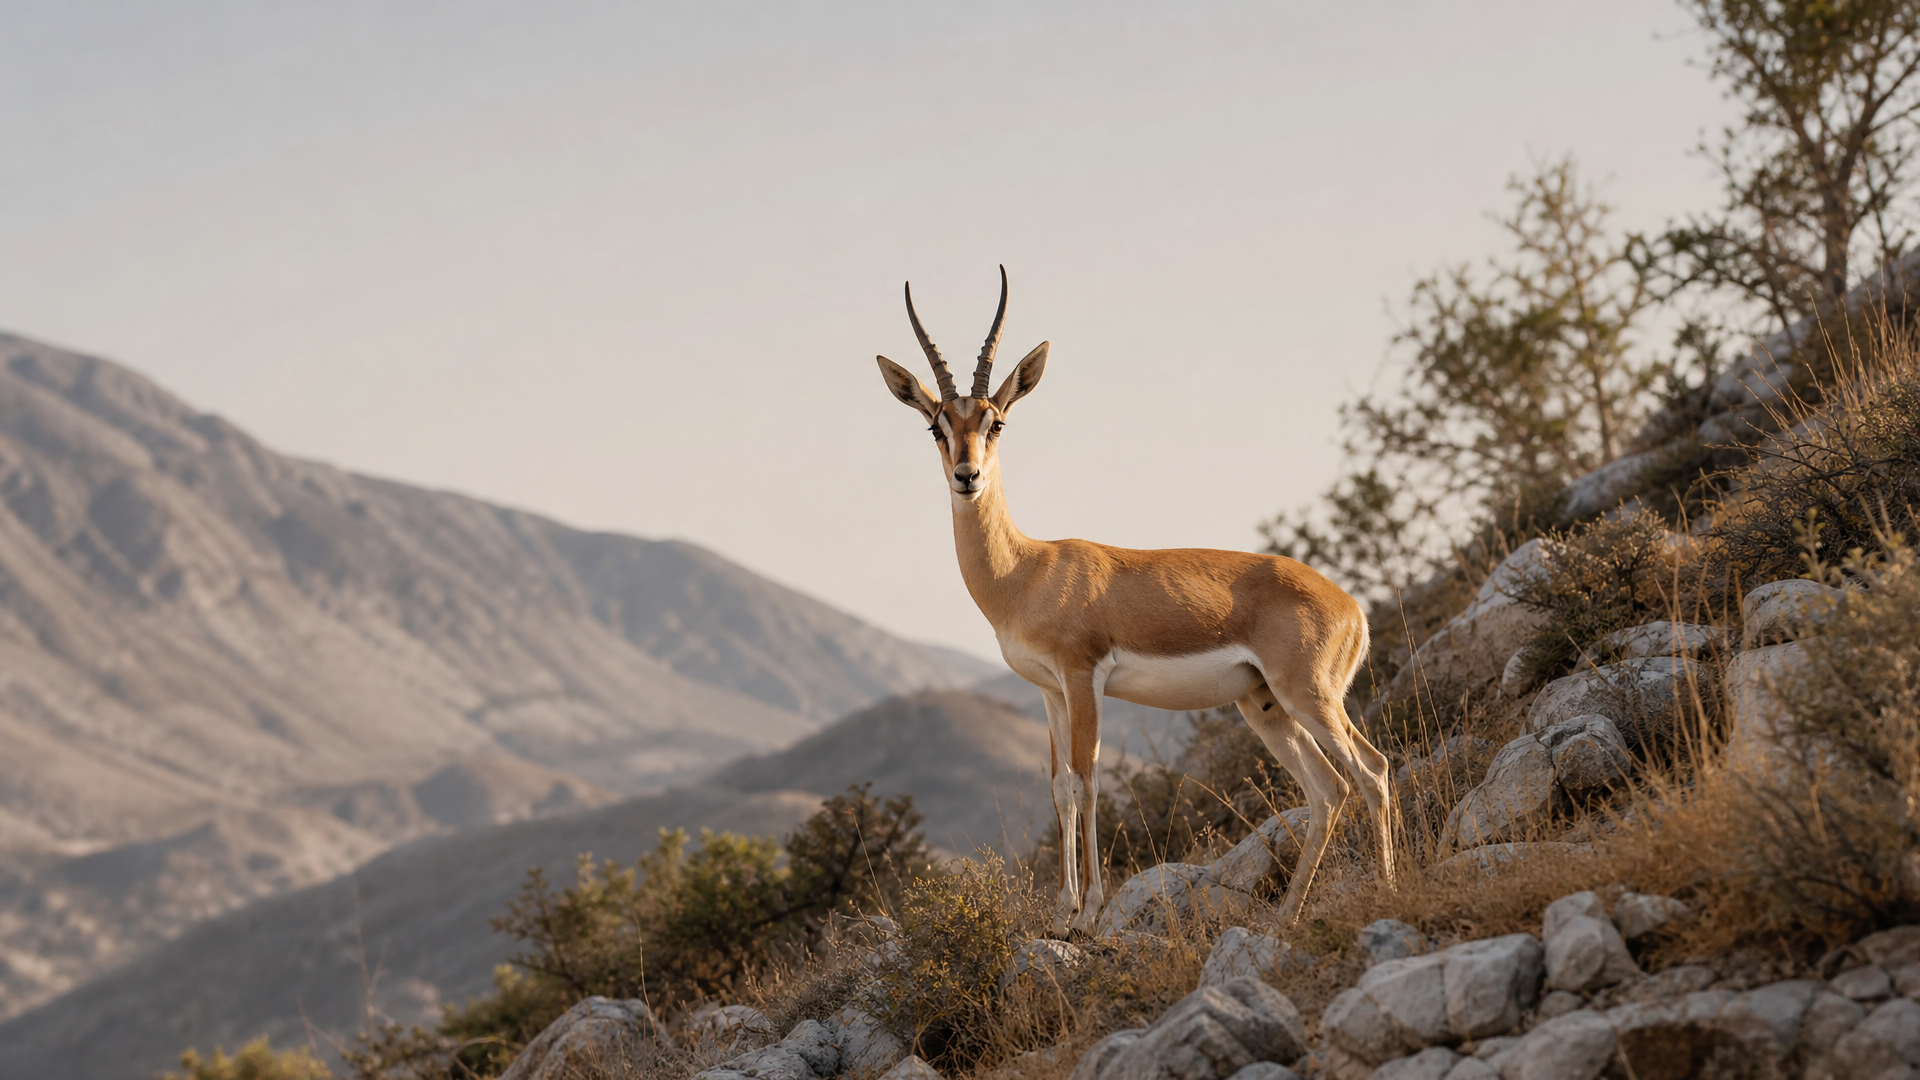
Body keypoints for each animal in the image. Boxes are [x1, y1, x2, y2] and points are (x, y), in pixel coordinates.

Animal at [873, 268, 1395, 936]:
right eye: (936, 426)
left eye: (996, 423)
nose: (968, 477)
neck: (1027, 570)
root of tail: (1351, 606)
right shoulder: (1049, 691)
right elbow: (1060, 787)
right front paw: (1062, 914)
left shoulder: (1083, 678)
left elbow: (1090, 780)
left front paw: (1091, 912)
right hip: (1264, 705)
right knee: (1328, 790)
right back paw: (1285, 919)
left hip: (1310, 694)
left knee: (1372, 771)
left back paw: (1385, 891)